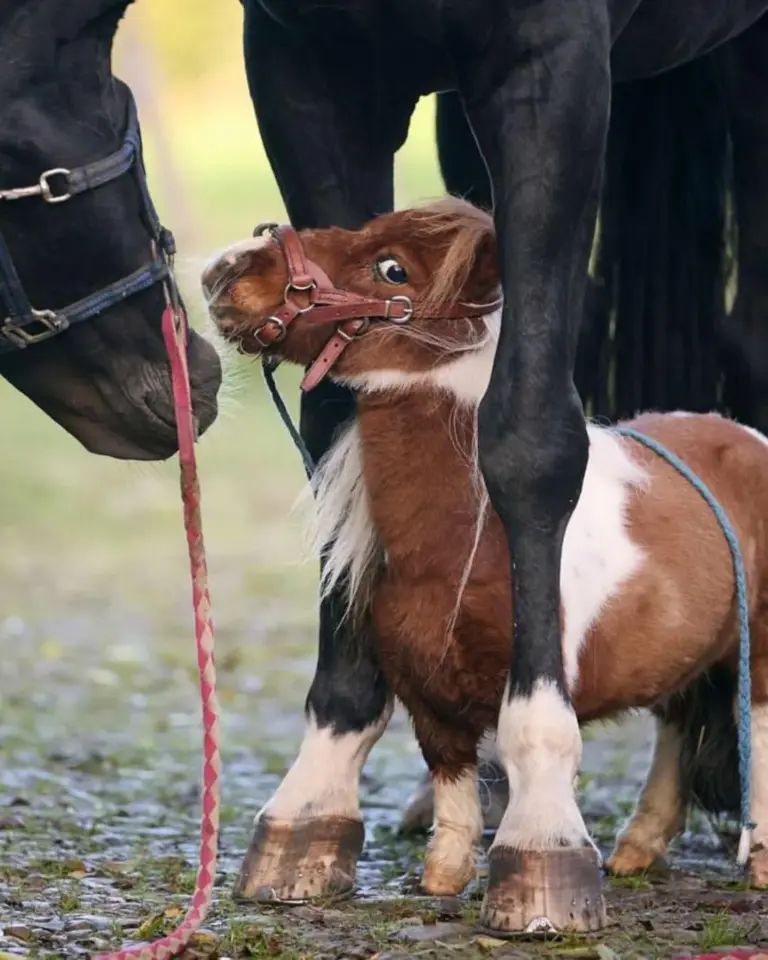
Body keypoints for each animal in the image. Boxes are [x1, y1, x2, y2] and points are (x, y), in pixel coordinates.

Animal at [235, 0, 768, 934]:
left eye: (391, 268)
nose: (228, 272)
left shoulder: (551, 66)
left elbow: (531, 433)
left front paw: (542, 824)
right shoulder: (307, 65)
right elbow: (332, 425)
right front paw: (316, 800)